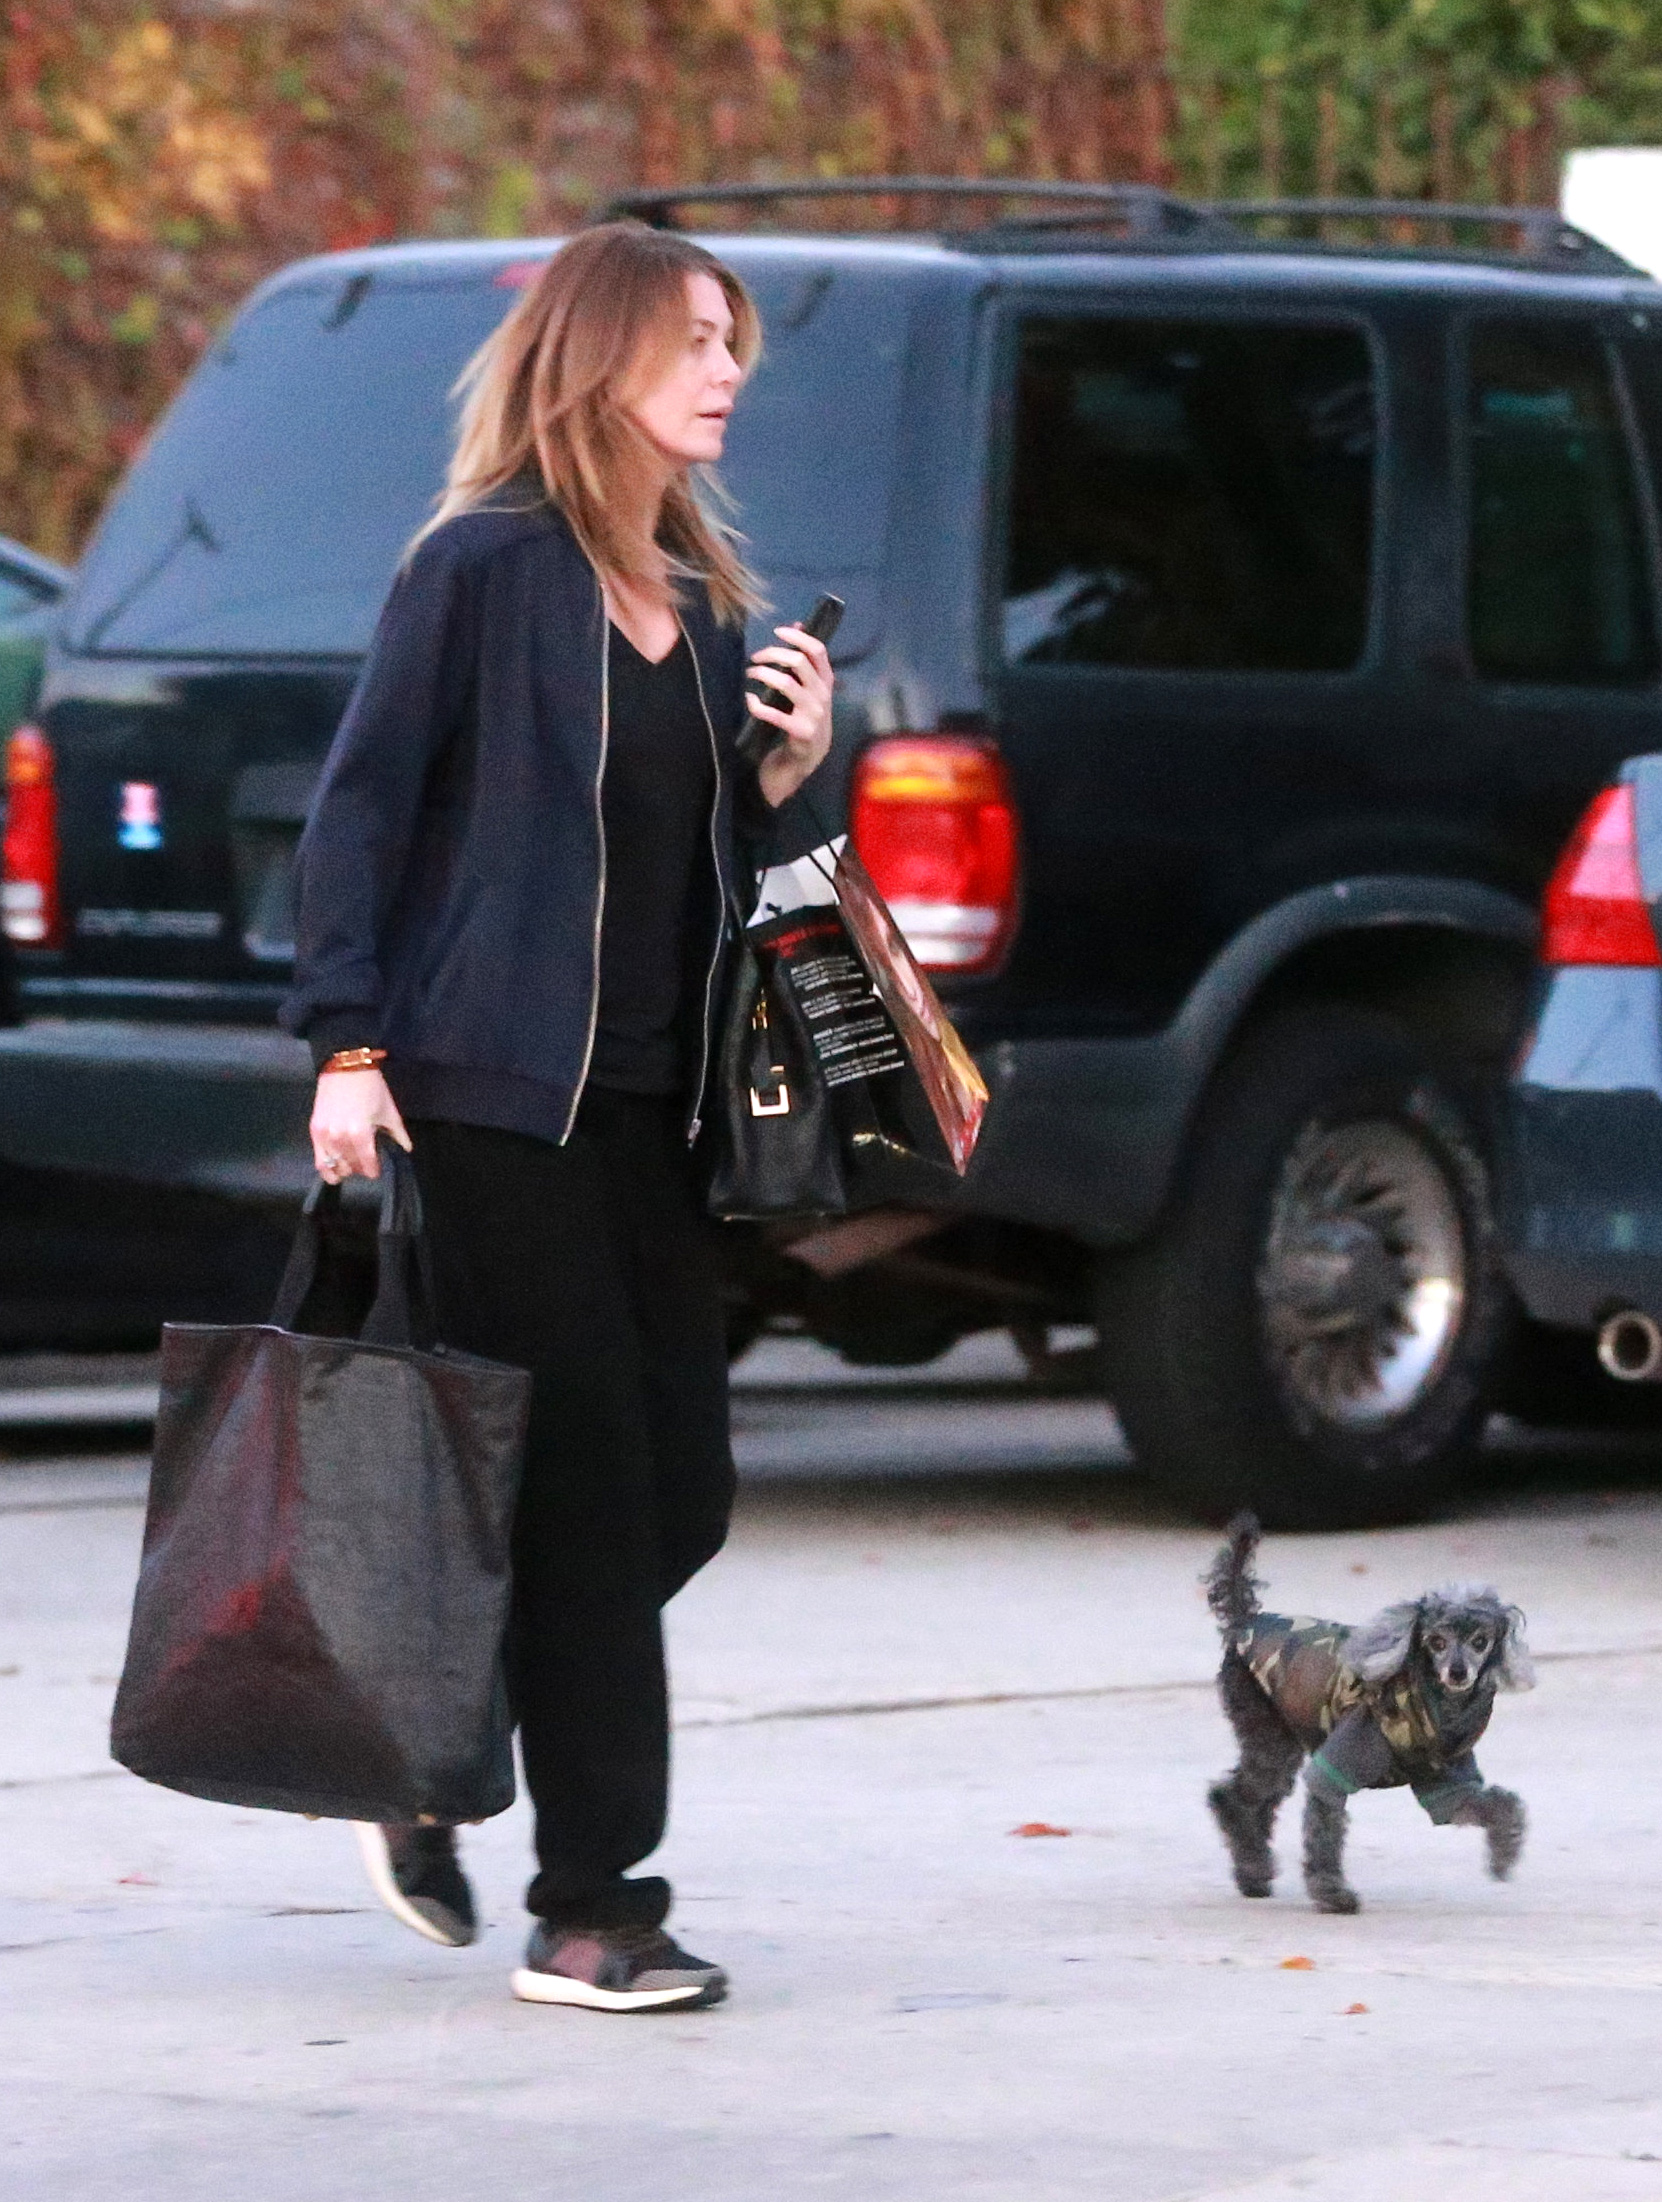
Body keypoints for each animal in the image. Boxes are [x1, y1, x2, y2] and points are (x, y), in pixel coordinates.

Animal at [1204, 1515, 1533, 1913]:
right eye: (1436, 1642)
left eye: (1480, 1641)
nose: (1458, 1672)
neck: (1430, 1702)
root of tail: (1246, 1621)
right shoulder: (1341, 1762)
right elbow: (1324, 1830)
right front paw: (1332, 1893)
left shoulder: (1447, 1784)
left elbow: (1496, 1804)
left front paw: (1505, 1851)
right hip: (1264, 1728)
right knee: (1233, 1797)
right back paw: (1253, 1869)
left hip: (1279, 1737)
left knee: (1254, 1801)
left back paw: (1254, 1872)